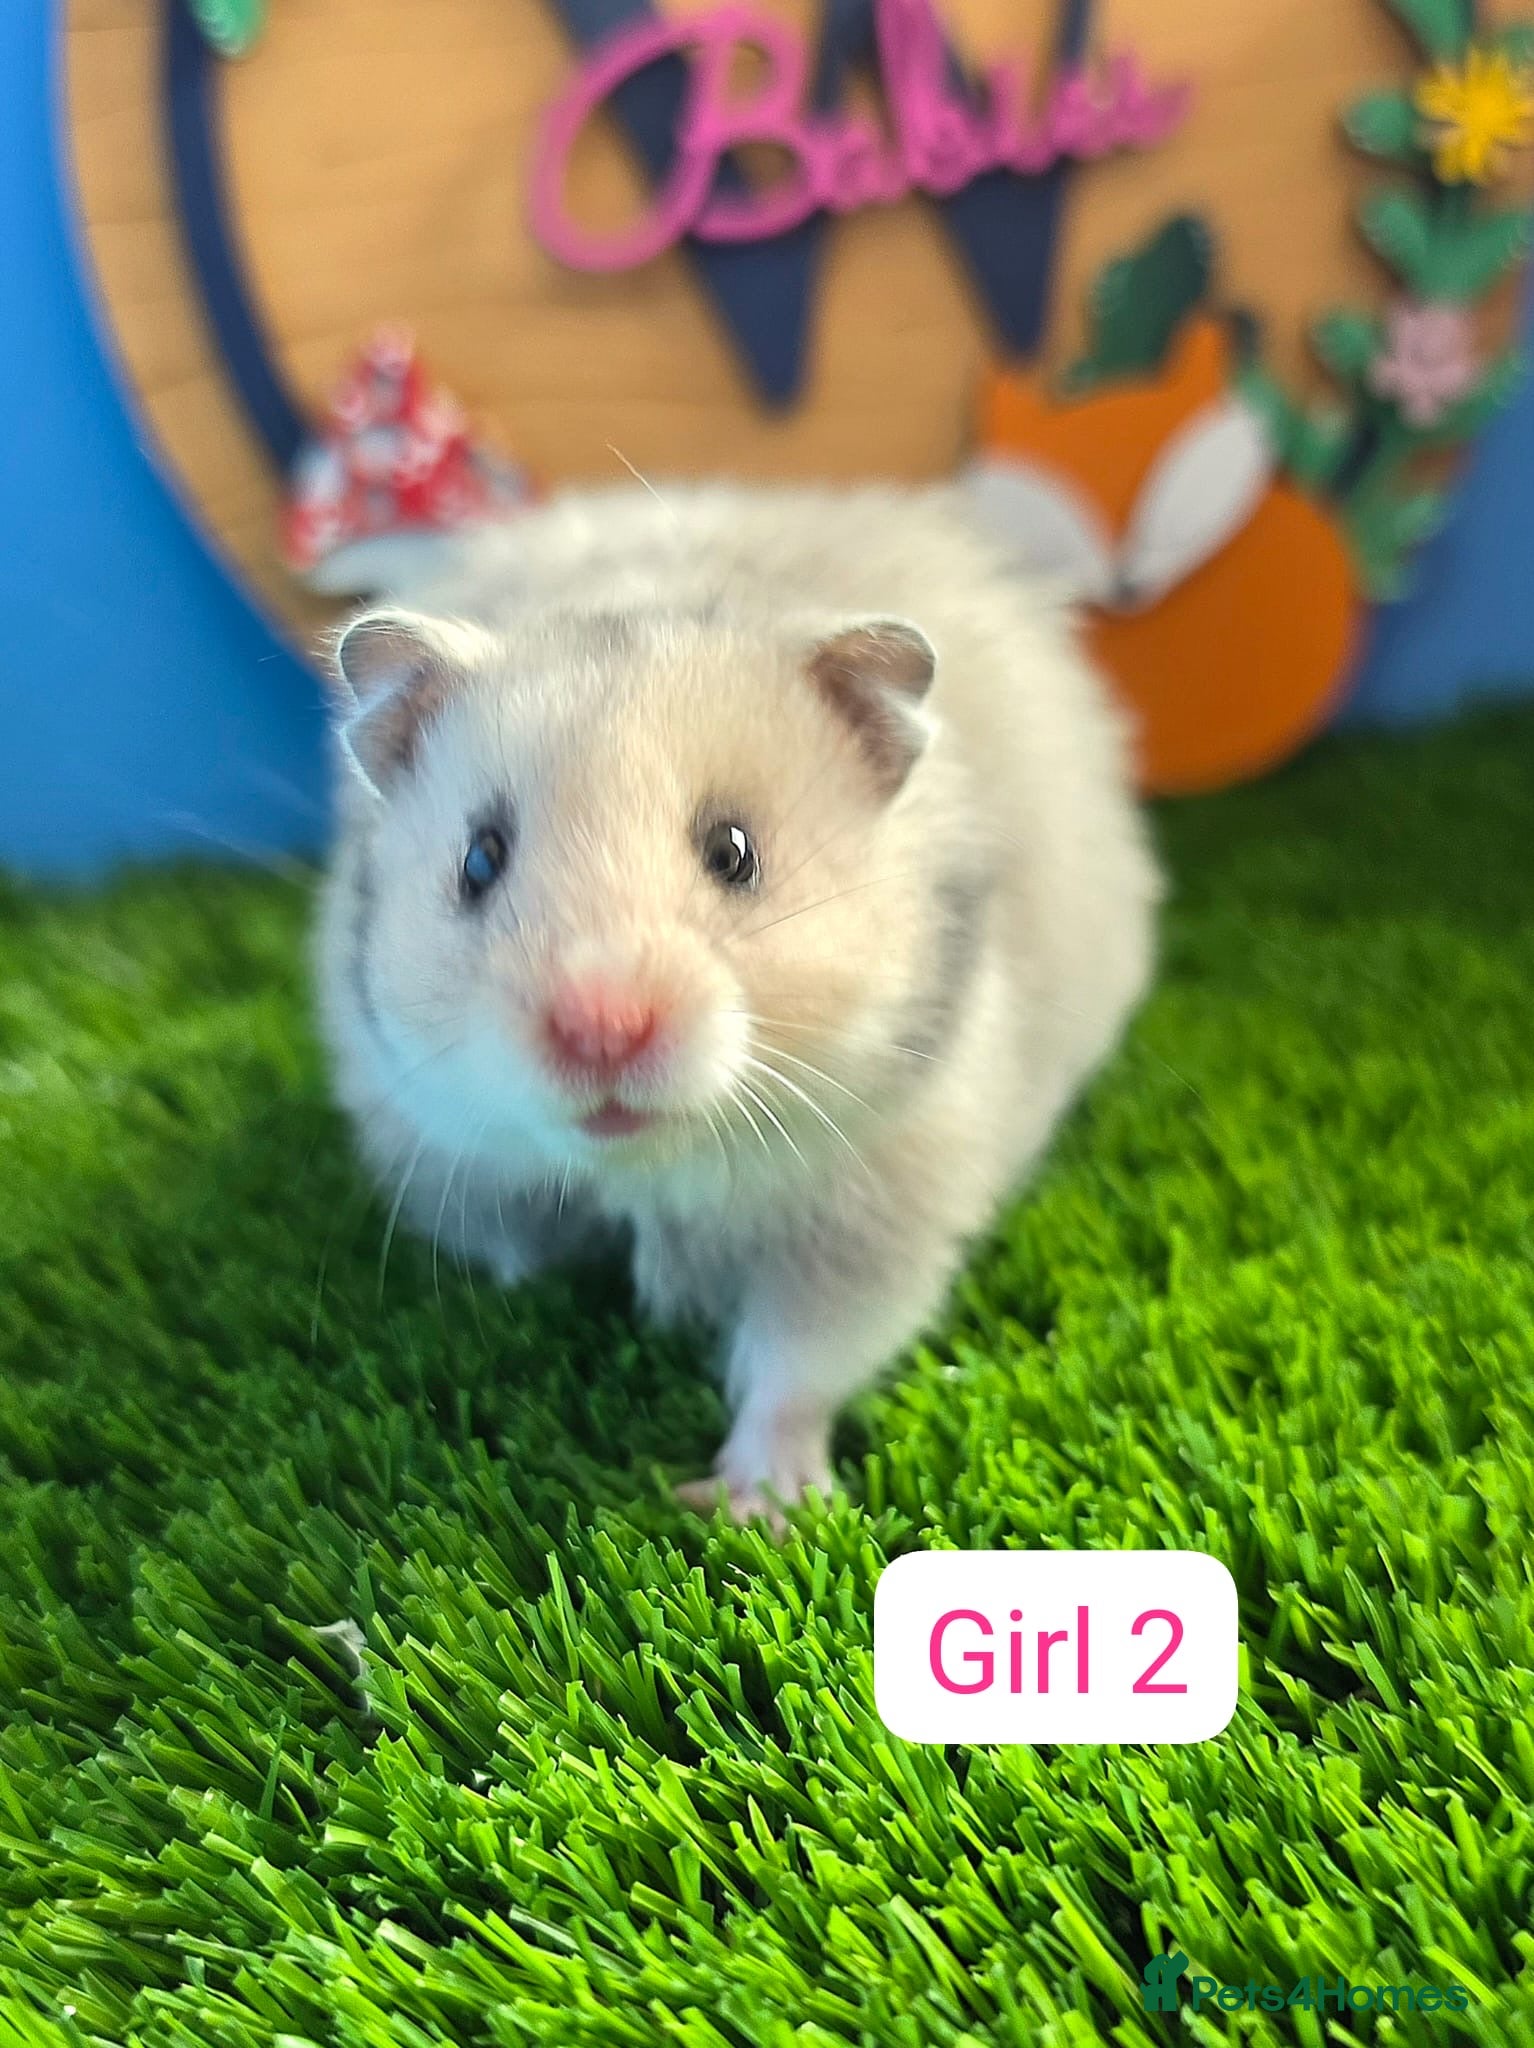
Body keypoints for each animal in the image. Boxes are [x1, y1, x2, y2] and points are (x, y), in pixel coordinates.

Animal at [315, 482, 1160, 1521]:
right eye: (479, 859)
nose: (602, 1029)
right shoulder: (444, 1152)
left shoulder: (877, 1207)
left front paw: (754, 1506)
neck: (647, 1166)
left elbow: (800, 1360)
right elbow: (520, 1249)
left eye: (734, 851)